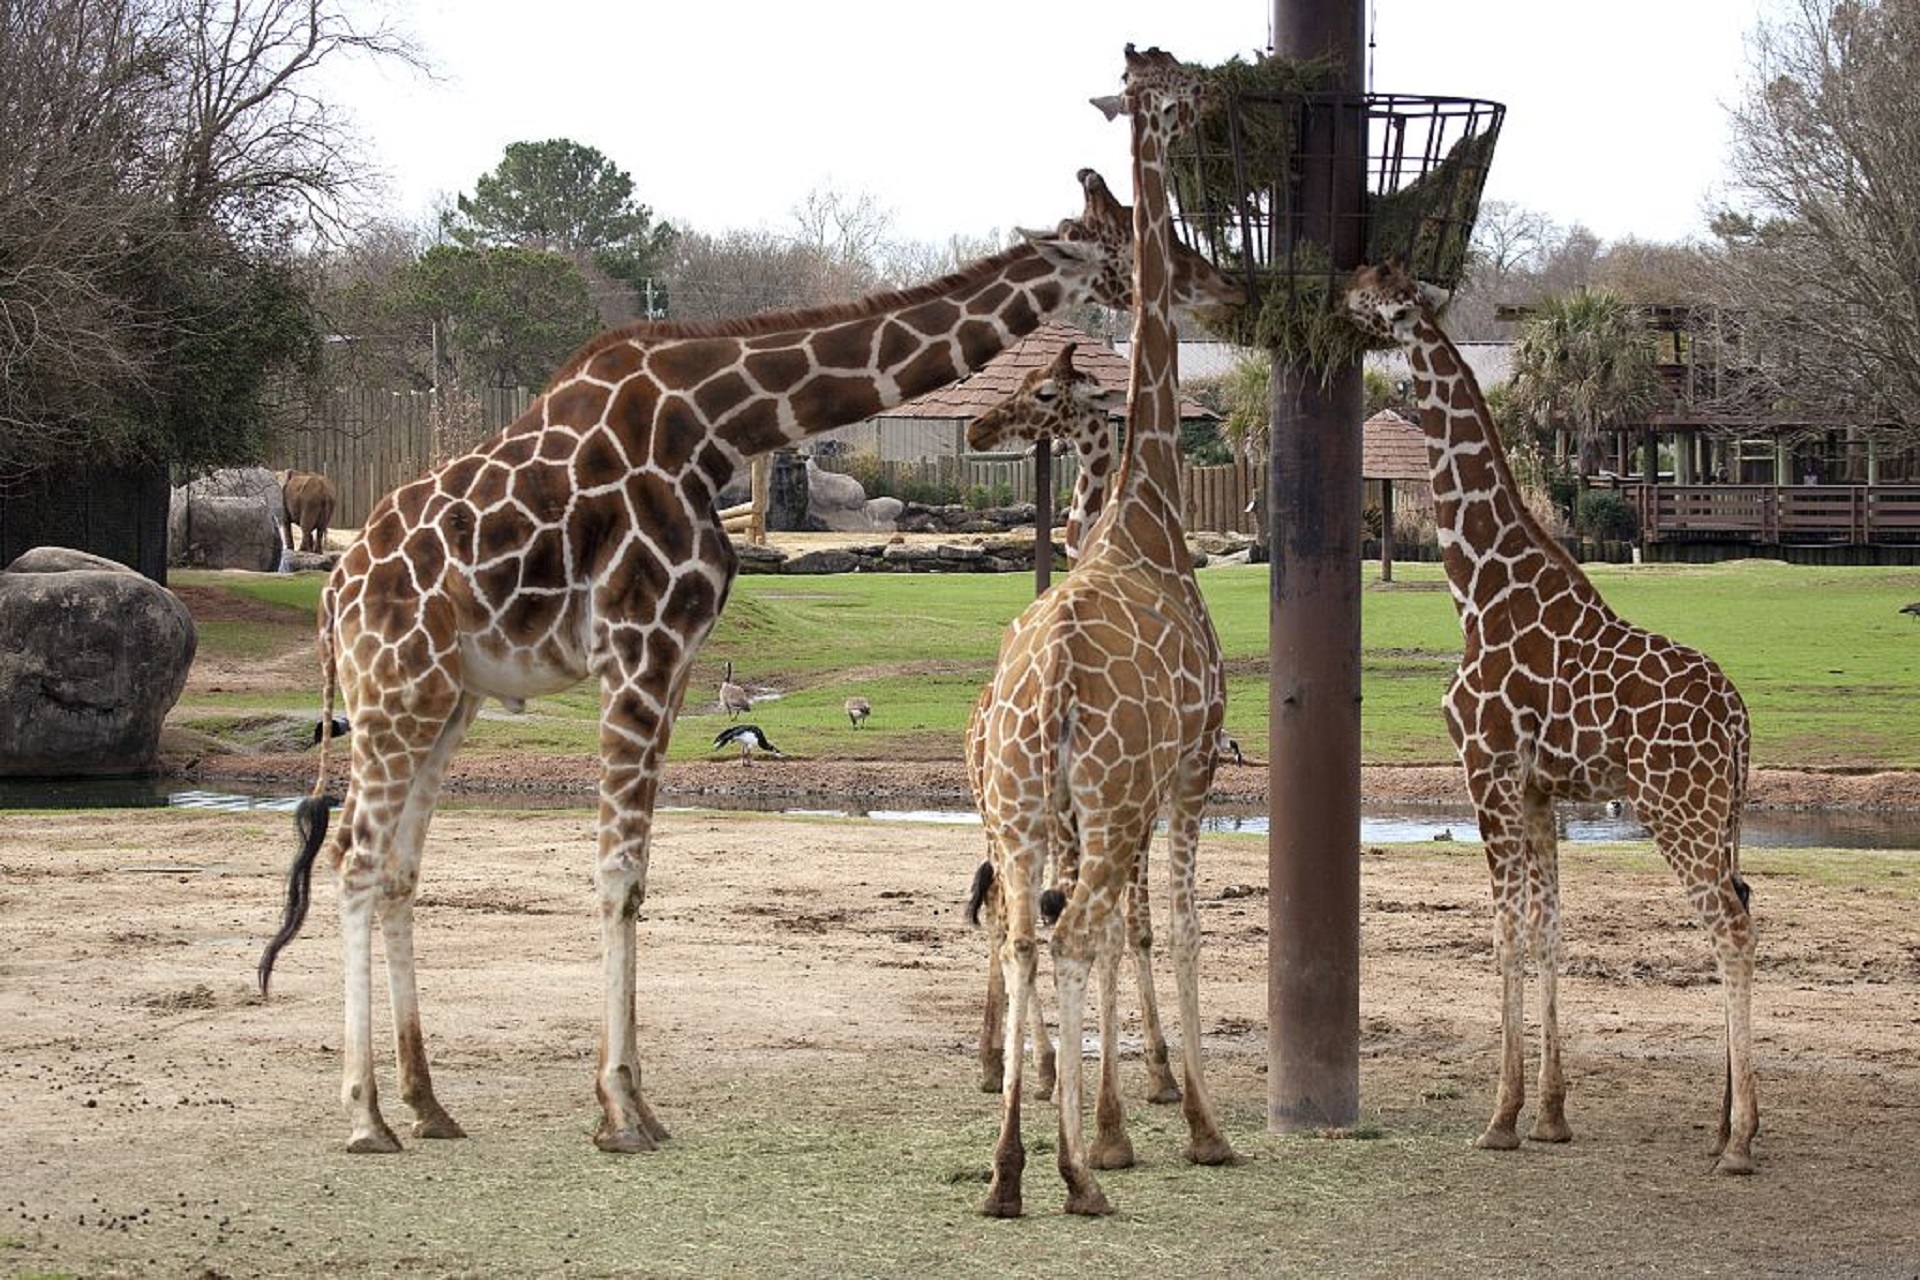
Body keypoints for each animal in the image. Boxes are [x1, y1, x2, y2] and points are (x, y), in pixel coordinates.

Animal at [960, 345, 1182, 1105]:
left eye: (1046, 391)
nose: (978, 426)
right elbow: (1129, 924)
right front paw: (1155, 1071)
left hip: (1011, 814)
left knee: (1011, 909)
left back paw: (1003, 1062)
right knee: (1019, 911)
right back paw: (1038, 1067)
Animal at [1344, 262, 1758, 1182]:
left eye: (1382, 289)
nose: (1342, 291)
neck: (1478, 589)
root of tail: (1740, 720)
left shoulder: (1487, 773)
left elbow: (1502, 937)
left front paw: (1500, 1117)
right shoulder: (1539, 793)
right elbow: (1549, 936)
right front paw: (1552, 1115)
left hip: (1675, 806)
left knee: (1731, 926)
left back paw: (1743, 1142)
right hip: (1723, 813)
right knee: (1745, 905)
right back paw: (1723, 1125)